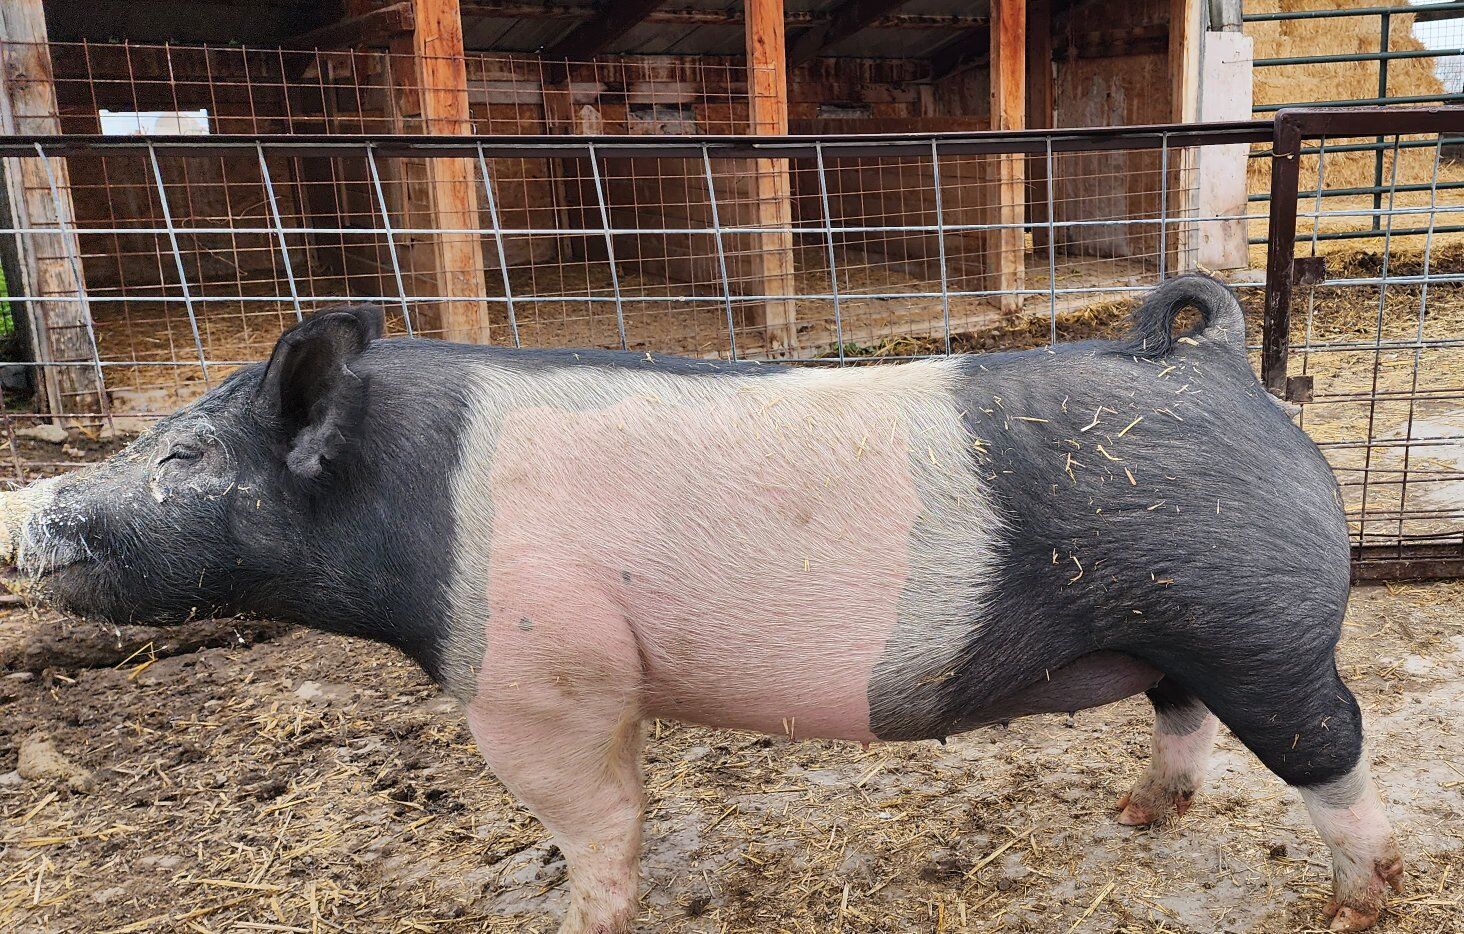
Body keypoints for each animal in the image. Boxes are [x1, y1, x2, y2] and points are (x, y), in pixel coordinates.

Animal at [0, 275, 1402, 933]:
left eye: (187, 456)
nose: (31, 508)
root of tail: (1211, 359)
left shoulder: (538, 674)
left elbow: (598, 816)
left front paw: (582, 914)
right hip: (1174, 627)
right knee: (1181, 719)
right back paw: (1136, 814)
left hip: (1258, 624)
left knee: (1334, 746)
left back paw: (1358, 903)